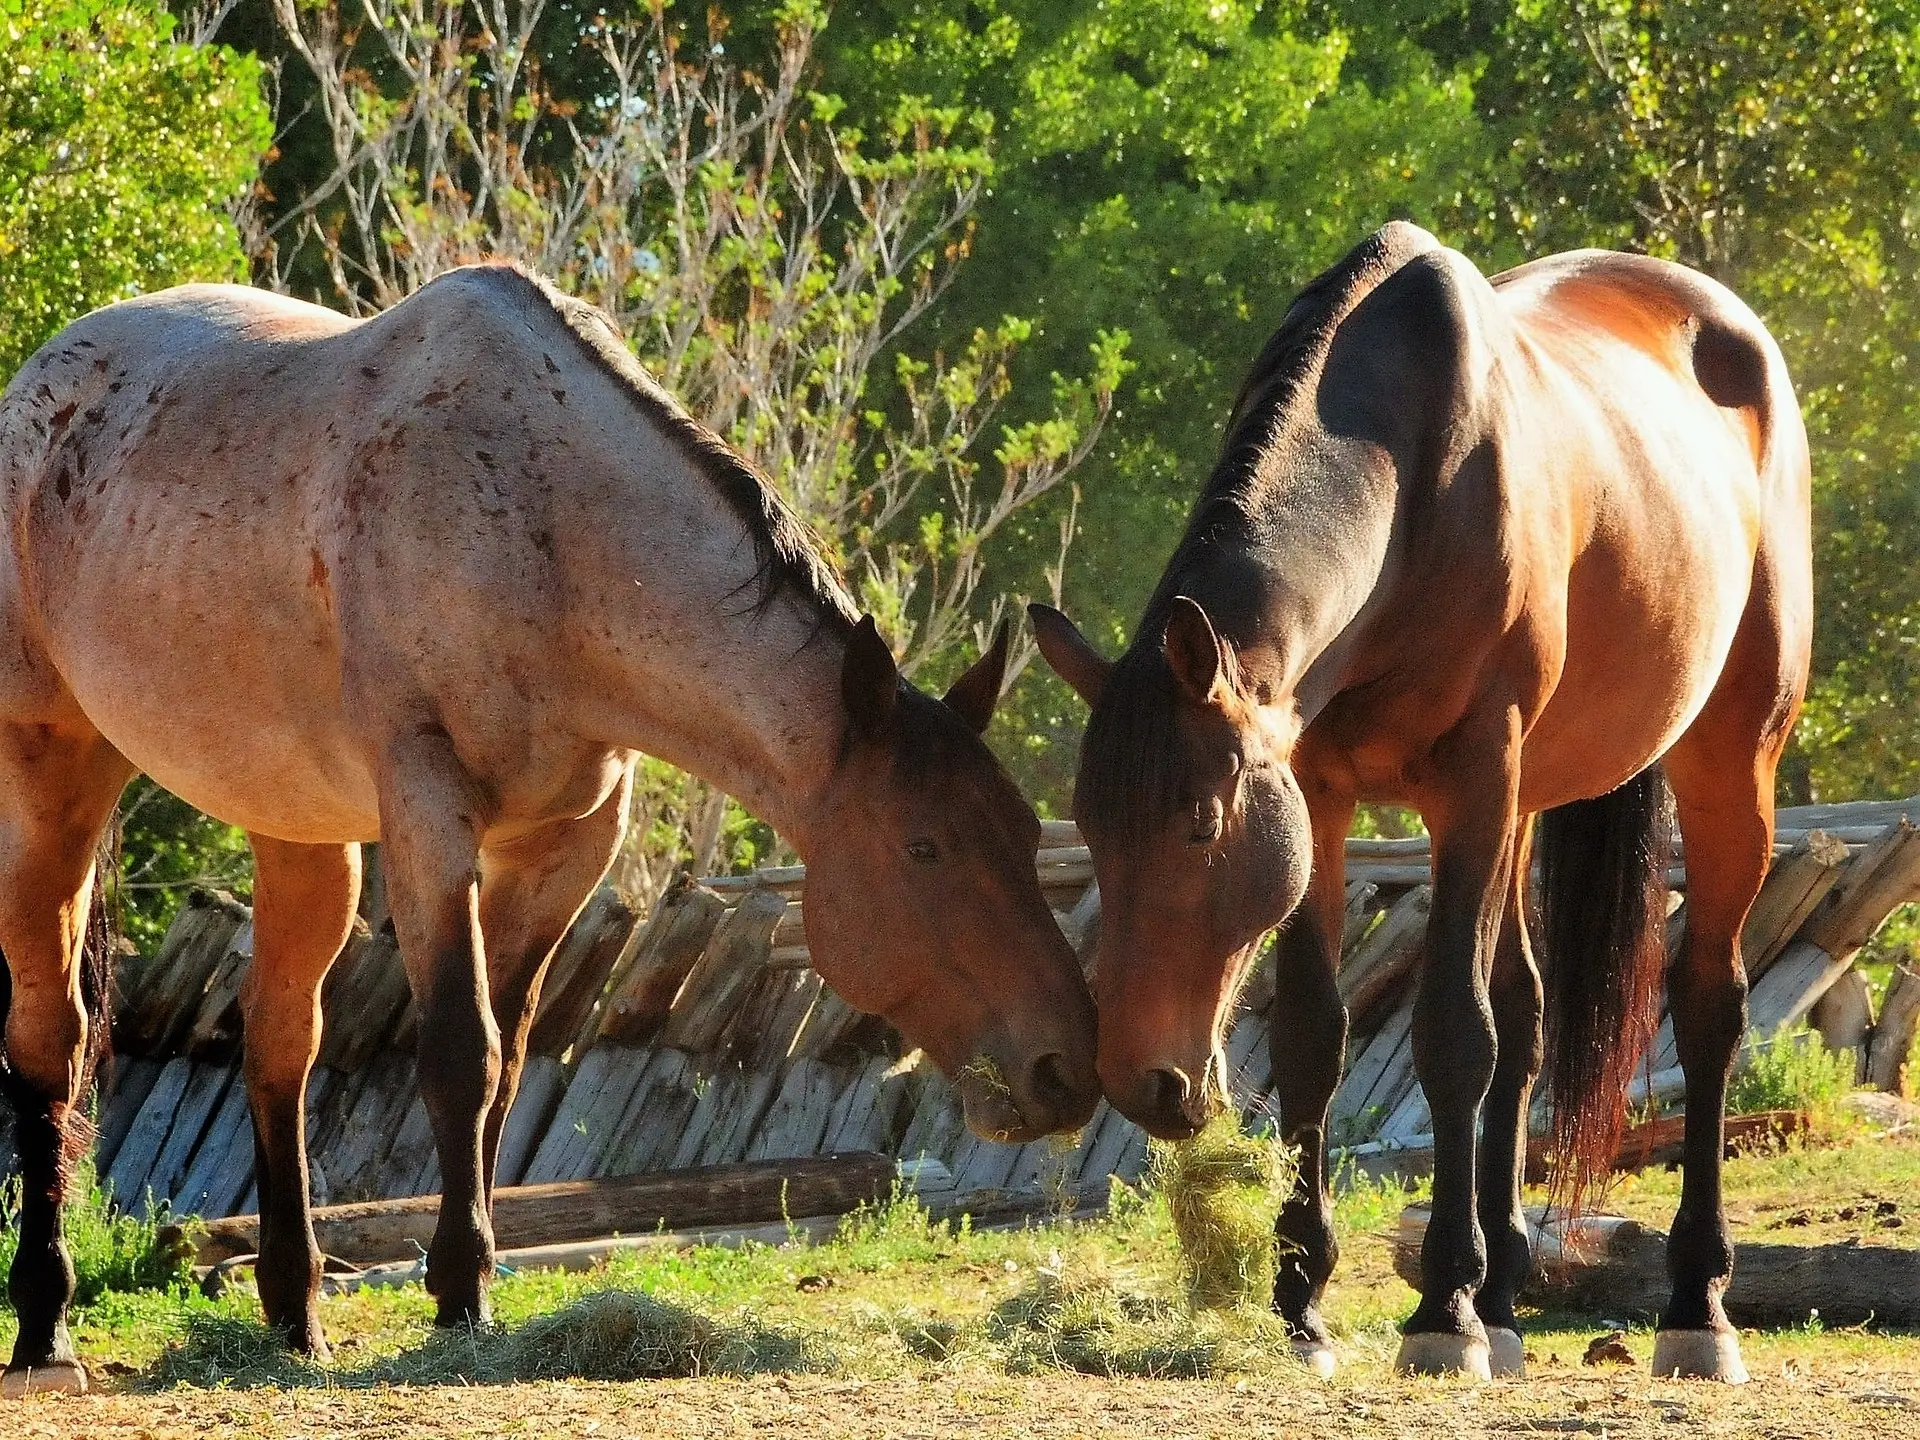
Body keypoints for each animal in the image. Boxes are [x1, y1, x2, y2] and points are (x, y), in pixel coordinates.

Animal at [0, 264, 1098, 1390]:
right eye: (922, 848)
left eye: (1024, 834)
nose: (1065, 1070)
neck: (544, 527)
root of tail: (43, 382)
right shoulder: (430, 816)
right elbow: (462, 1051)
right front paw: (459, 1293)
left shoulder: (564, 849)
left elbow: (509, 1063)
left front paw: (469, 1273)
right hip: (53, 770)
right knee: (53, 1036)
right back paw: (45, 1326)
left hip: (295, 825)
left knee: (280, 1043)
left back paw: (294, 1312)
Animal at [1029, 225, 1804, 1390]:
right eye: (1093, 833)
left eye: (1200, 825)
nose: (1141, 1078)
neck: (1412, 484)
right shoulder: (1321, 792)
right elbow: (1317, 1034)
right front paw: (1303, 1303)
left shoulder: (1474, 778)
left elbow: (1453, 1035)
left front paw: (1442, 1309)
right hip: (1532, 798)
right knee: (1528, 1011)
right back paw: (1510, 1294)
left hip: (1727, 761)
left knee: (1708, 1005)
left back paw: (1693, 1308)